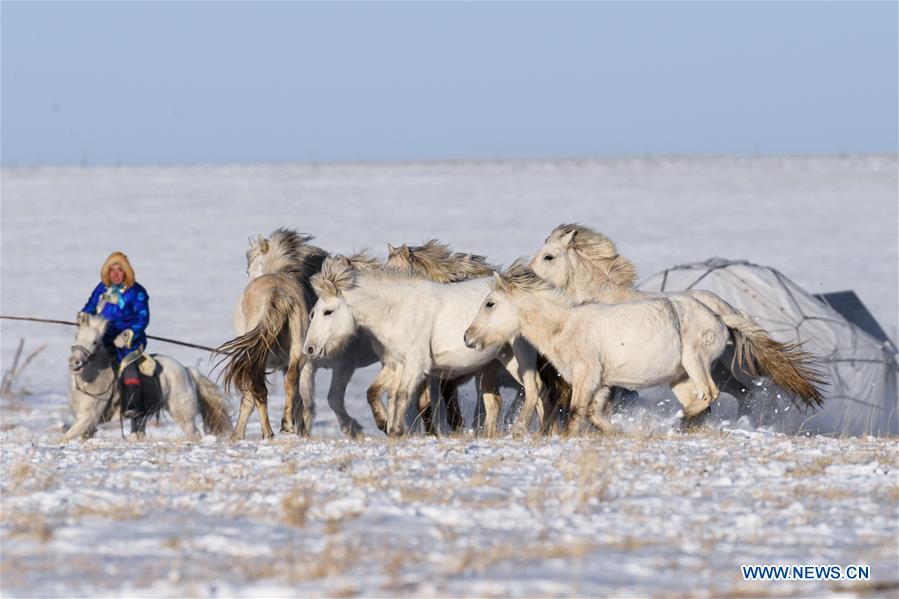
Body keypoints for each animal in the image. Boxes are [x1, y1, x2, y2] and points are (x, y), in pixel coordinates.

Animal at [65, 313, 232, 442]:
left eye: (95, 342)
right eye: (76, 336)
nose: (74, 362)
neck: (89, 382)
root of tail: (186, 370)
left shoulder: (88, 418)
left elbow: (65, 438)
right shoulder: (88, 425)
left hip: (183, 415)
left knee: (194, 433)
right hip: (141, 417)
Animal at [303, 258, 545, 437]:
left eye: (328, 311)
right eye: (313, 312)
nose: (310, 349)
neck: (398, 310)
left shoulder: (416, 365)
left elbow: (401, 395)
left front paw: (396, 430)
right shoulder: (395, 364)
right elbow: (376, 392)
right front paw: (384, 423)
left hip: (519, 355)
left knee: (534, 387)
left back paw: (524, 430)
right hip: (499, 360)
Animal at [464, 262, 825, 434]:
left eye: (490, 303)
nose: (468, 338)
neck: (565, 326)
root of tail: (716, 312)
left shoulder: (586, 376)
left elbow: (578, 412)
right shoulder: (601, 383)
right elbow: (593, 413)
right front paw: (617, 431)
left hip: (695, 361)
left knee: (709, 394)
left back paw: (680, 422)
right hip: (679, 378)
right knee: (699, 400)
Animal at [529, 223, 827, 417]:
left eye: (549, 256)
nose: (527, 277)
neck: (603, 297)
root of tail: (724, 308)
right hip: (718, 370)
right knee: (741, 393)